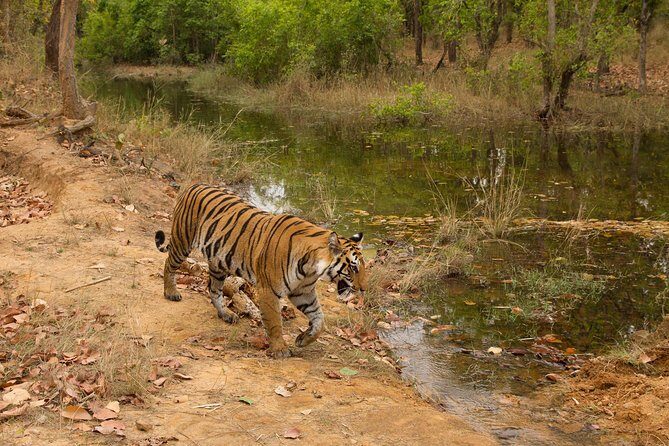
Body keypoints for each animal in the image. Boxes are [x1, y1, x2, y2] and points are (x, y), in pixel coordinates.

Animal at [155, 183, 368, 358]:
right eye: (354, 267)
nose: (364, 289)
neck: (311, 269)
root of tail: (194, 185)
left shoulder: (303, 291)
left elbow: (319, 320)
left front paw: (303, 339)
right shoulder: (269, 291)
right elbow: (274, 322)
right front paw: (280, 349)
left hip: (218, 262)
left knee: (214, 289)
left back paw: (225, 314)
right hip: (183, 241)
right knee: (169, 265)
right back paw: (171, 292)